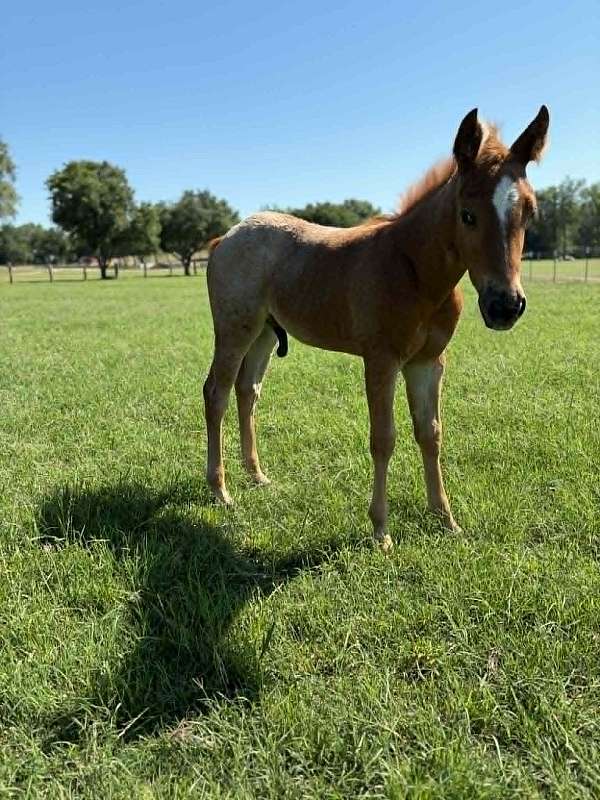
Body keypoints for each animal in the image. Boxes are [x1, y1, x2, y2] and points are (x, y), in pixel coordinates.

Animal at [203, 106, 549, 550]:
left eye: (530, 213)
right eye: (467, 215)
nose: (505, 306)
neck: (414, 272)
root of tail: (226, 237)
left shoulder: (428, 363)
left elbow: (430, 433)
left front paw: (445, 518)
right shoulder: (381, 361)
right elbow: (383, 439)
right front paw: (381, 532)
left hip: (264, 331)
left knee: (248, 391)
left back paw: (257, 476)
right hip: (235, 329)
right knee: (217, 393)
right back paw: (220, 490)